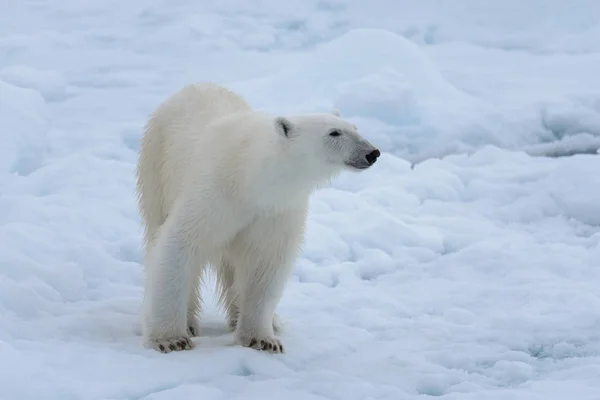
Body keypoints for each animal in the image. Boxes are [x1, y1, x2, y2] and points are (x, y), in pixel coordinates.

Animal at [136, 81, 380, 354]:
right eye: (334, 133)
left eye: (355, 128)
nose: (372, 153)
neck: (249, 178)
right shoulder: (213, 194)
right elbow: (179, 244)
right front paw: (170, 339)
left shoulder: (276, 210)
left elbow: (266, 262)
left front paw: (262, 339)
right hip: (156, 164)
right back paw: (189, 321)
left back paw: (262, 320)